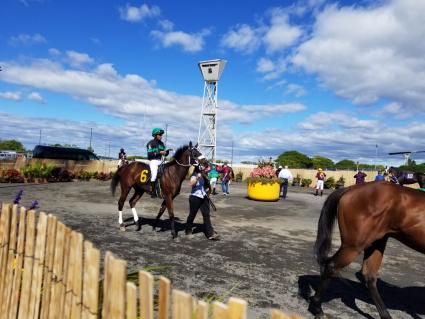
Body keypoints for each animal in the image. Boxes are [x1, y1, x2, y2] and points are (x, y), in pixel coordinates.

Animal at [310, 182, 422, 319]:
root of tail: (351, 188)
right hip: (353, 246)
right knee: (331, 267)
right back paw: (317, 308)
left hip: (377, 243)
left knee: (370, 277)